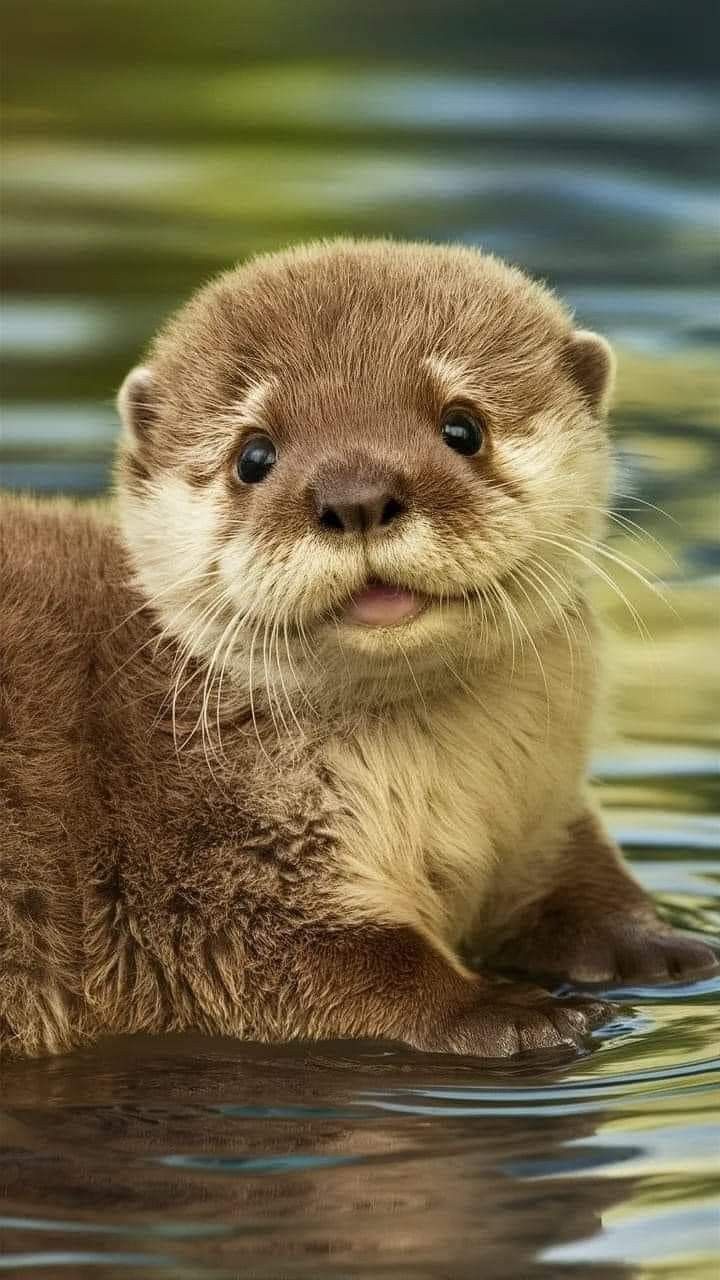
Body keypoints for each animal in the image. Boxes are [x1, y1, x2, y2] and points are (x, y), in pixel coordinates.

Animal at [0, 240, 712, 1059]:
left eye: (462, 427)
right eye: (254, 454)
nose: (357, 495)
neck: (439, 794)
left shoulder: (542, 807)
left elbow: (585, 880)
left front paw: (656, 944)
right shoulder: (202, 875)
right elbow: (325, 963)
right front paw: (512, 1011)